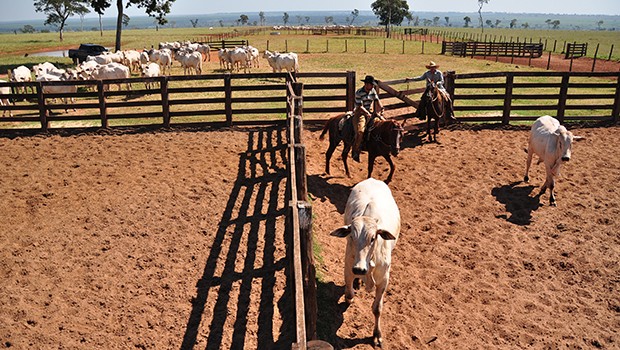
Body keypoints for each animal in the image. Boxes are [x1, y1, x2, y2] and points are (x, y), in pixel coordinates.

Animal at [330, 178, 402, 348]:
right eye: (351, 236)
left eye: (373, 238)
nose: (359, 269)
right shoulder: (348, 268)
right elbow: (349, 294)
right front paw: (350, 295)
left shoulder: (384, 280)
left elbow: (377, 309)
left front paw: (377, 335)